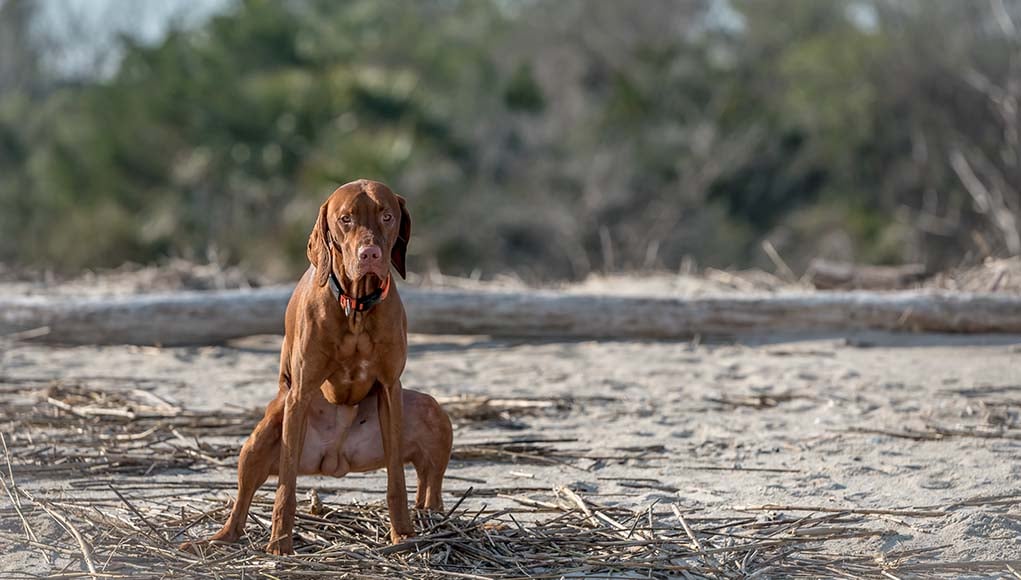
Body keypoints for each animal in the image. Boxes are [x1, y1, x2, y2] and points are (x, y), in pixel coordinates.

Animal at [181, 179, 436, 551]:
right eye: (345, 219)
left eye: (387, 216)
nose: (370, 255)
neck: (355, 307)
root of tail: (333, 458)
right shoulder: (299, 395)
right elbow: (286, 487)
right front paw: (280, 544)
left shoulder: (390, 391)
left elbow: (397, 480)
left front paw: (402, 534)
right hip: (262, 437)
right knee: (241, 504)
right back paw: (218, 538)